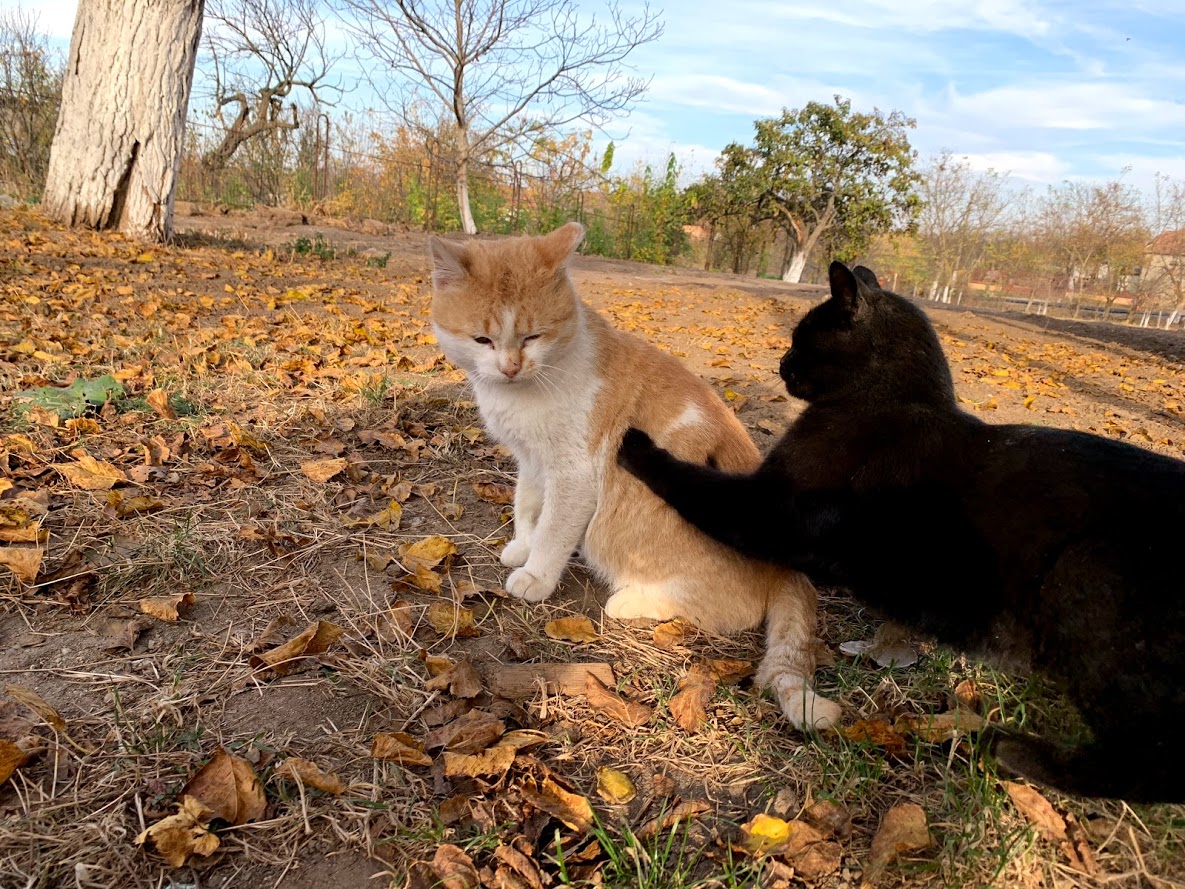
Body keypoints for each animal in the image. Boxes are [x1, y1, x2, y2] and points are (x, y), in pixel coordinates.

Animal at [428, 222, 840, 731]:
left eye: (532, 337)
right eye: (482, 340)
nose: (510, 367)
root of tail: (788, 565)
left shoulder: (573, 474)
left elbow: (554, 529)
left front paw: (536, 574)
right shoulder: (532, 461)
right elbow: (527, 506)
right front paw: (522, 546)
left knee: (726, 610)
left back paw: (632, 602)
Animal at [618, 259, 1185, 803]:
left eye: (802, 338)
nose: (780, 363)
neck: (891, 399)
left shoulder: (771, 509)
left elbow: (699, 485)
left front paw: (638, 447)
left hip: (1085, 577)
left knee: (1154, 762)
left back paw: (1014, 752)